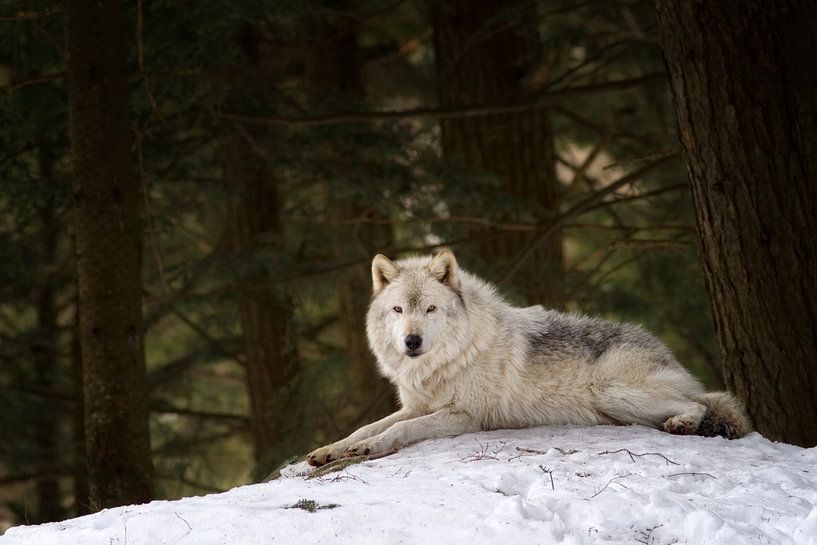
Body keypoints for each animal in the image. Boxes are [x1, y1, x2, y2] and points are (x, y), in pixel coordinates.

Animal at [306, 249, 752, 466]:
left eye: (430, 309)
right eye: (399, 310)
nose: (411, 342)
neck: (441, 365)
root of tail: (662, 348)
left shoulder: (463, 416)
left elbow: (396, 431)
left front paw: (369, 449)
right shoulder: (417, 406)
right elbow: (365, 427)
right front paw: (331, 450)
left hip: (610, 389)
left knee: (702, 403)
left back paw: (683, 422)